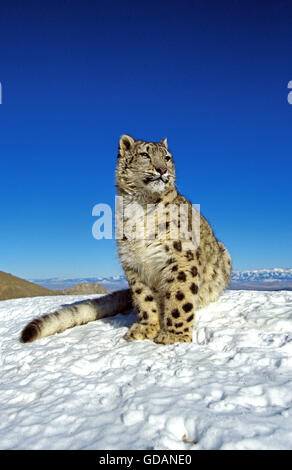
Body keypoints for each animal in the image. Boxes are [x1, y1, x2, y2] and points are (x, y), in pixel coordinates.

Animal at [19, 134, 232, 344]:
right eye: (145, 154)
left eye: (167, 158)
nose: (162, 169)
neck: (140, 205)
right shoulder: (133, 263)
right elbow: (144, 298)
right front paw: (146, 327)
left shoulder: (180, 257)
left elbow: (180, 297)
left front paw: (174, 335)